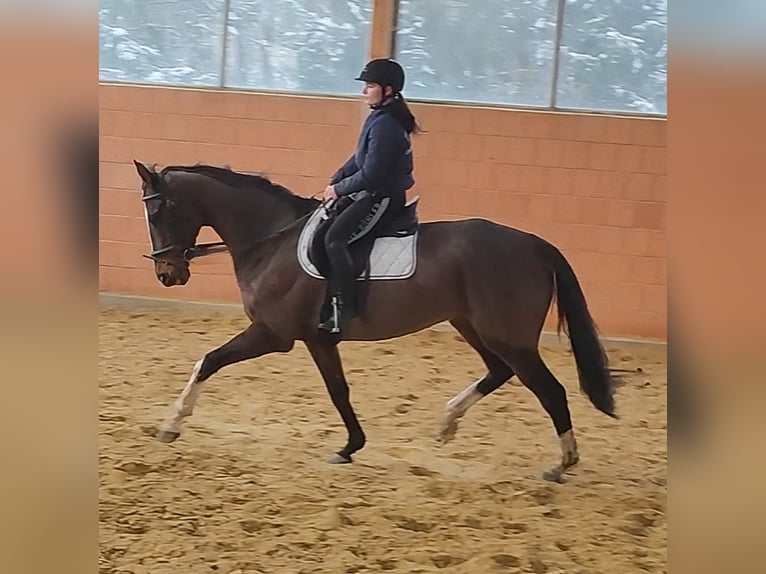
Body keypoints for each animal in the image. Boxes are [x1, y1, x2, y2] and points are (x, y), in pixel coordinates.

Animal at [133, 160, 618, 482]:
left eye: (156, 212)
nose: (167, 274)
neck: (271, 239)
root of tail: (536, 244)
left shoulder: (272, 335)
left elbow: (208, 361)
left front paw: (172, 424)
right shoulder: (319, 340)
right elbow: (339, 392)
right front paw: (350, 447)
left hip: (508, 337)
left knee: (550, 390)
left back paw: (561, 463)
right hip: (473, 326)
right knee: (499, 372)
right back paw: (448, 422)